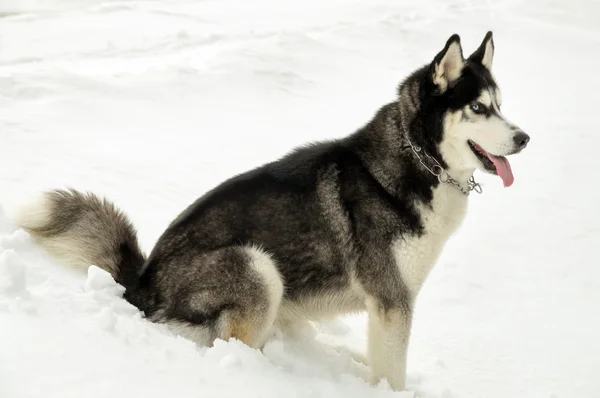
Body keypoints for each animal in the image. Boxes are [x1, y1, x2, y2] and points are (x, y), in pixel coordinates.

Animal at [16, 31, 528, 392]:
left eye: (501, 106)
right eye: (478, 108)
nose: (524, 138)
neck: (418, 157)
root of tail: (141, 280)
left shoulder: (389, 306)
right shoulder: (391, 300)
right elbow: (392, 374)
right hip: (257, 267)